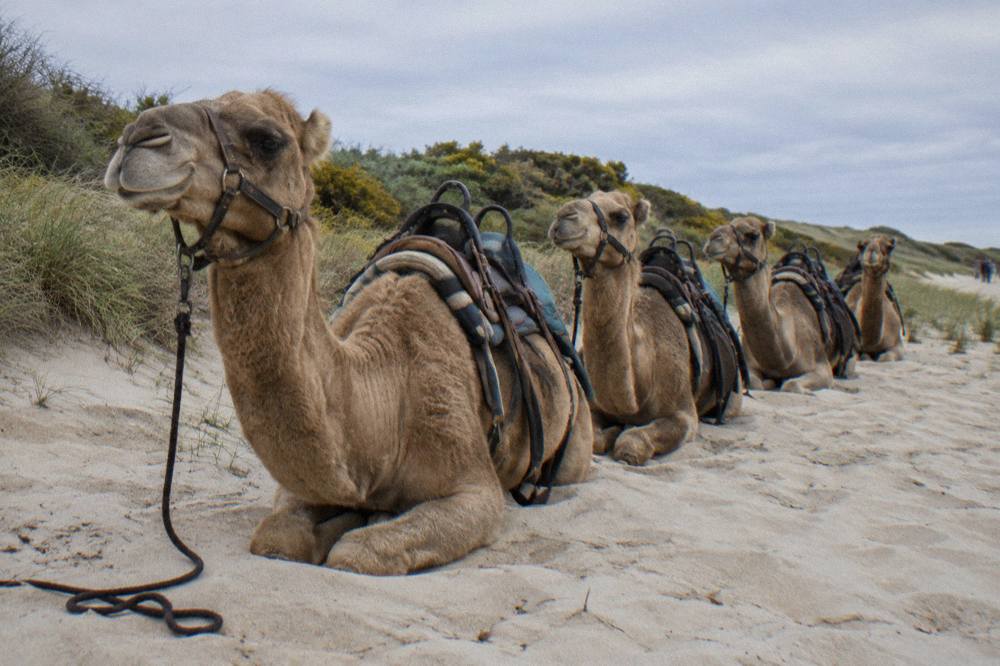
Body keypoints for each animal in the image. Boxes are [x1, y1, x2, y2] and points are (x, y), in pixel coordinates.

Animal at [103, 90, 593, 575]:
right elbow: (277, 537)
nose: (137, 137)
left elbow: (355, 553)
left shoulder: (476, 492)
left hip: (575, 446)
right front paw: (347, 518)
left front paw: (361, 524)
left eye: (268, 140)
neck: (387, 394)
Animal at [548, 191, 741, 466]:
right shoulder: (594, 406)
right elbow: (597, 440)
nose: (564, 216)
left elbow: (631, 444)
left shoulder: (683, 414)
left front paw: (624, 435)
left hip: (734, 396)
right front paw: (615, 430)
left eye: (621, 216)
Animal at [703, 216, 851, 393]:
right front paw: (770, 382)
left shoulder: (822, 366)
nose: (713, 239)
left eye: (753, 235)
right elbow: (755, 383)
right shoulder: (750, 365)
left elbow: (791, 384)